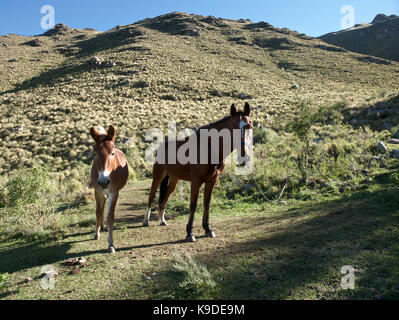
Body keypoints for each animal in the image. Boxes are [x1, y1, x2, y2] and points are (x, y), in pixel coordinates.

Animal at [142, 104, 252, 241]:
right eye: (234, 127)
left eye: (250, 126)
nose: (244, 157)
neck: (210, 148)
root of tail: (161, 146)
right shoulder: (196, 181)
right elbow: (193, 205)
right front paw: (190, 233)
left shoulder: (212, 180)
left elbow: (206, 204)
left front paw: (208, 229)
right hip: (158, 177)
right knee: (151, 196)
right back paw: (145, 221)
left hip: (173, 180)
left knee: (165, 196)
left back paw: (162, 220)